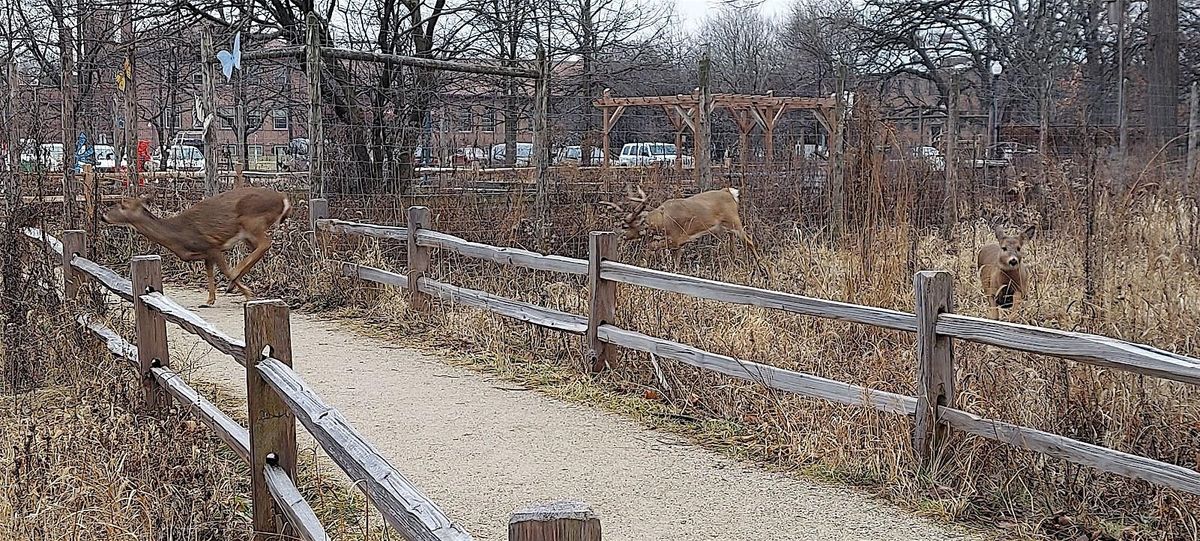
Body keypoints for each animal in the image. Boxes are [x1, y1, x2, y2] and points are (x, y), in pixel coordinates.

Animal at [102, 185, 291, 307]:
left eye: (122, 204)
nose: (103, 216)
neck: (178, 237)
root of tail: (283, 199)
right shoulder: (207, 253)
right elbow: (209, 272)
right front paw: (210, 300)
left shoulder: (212, 246)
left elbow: (225, 270)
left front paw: (248, 293)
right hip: (248, 234)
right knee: (260, 248)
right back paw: (233, 284)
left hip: (252, 221)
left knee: (265, 243)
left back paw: (234, 281)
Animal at [604, 185, 763, 273]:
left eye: (625, 226)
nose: (616, 235)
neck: (662, 220)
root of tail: (729, 192)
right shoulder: (679, 245)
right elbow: (676, 264)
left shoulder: (676, 238)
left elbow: (650, 247)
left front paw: (642, 264)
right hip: (725, 228)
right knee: (733, 245)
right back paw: (735, 262)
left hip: (734, 221)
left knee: (749, 240)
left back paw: (763, 271)